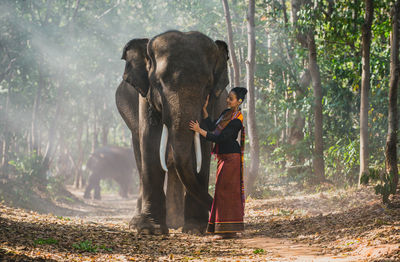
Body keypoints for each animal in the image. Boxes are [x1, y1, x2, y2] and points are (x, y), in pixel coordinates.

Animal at [115, 30, 228, 233]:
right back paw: (140, 222)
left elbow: (203, 146)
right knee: (139, 155)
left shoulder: (213, 103)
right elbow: (150, 142)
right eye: (158, 83)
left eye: (207, 85)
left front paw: (196, 229)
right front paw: (150, 230)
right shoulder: (146, 98)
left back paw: (176, 223)